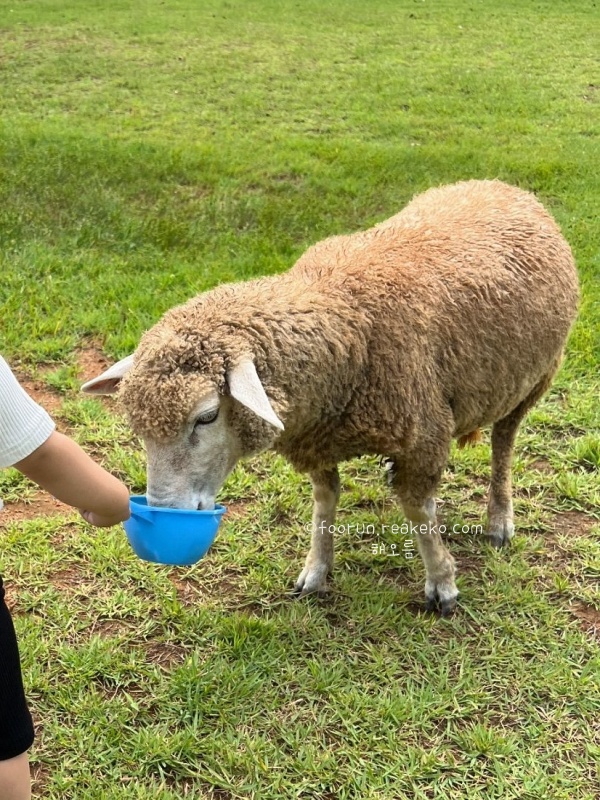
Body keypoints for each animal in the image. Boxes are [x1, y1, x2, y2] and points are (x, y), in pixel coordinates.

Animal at [82, 179, 579, 615]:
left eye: (206, 417)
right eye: (138, 428)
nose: (165, 513)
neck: (343, 305)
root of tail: (502, 185)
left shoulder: (423, 432)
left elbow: (418, 510)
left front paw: (442, 582)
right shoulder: (317, 437)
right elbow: (325, 503)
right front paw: (316, 570)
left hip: (533, 380)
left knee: (503, 444)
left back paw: (499, 519)